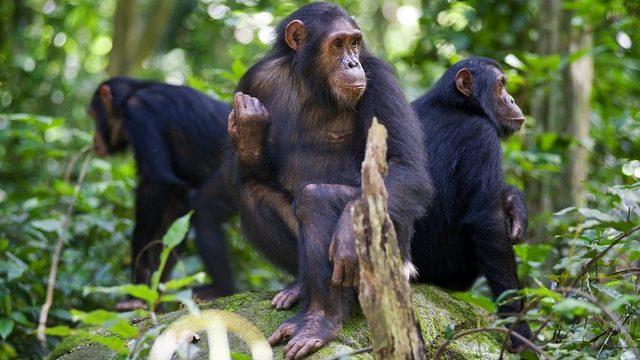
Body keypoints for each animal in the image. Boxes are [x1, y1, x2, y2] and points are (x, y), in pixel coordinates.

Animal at [88, 77, 238, 308]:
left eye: (94, 115)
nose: (94, 138)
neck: (129, 96)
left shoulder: (139, 113)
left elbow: (156, 183)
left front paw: (137, 289)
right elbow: (175, 208)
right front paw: (154, 291)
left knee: (204, 209)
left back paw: (222, 290)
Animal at [225, 2, 430, 358]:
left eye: (355, 43)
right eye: (338, 44)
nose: (352, 62)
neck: (312, 82)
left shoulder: (379, 79)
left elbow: (406, 166)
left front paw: (347, 229)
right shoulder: (254, 81)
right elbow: (252, 174)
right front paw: (249, 129)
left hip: (396, 263)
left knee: (316, 199)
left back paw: (320, 322)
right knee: (253, 193)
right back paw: (300, 291)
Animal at [410, 57, 536, 352]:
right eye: (501, 85)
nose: (512, 99)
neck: (456, 105)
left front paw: (515, 203)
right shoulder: (482, 137)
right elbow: (489, 223)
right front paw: (520, 331)